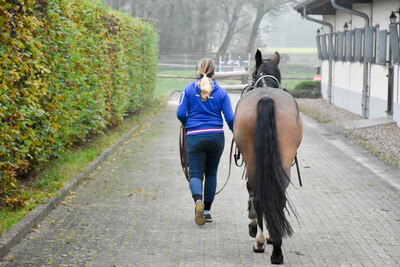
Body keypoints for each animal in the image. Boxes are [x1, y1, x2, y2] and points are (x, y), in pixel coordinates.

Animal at [231, 50, 304, 266]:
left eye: (253, 73)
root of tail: (266, 98)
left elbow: (252, 194)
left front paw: (253, 225)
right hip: (284, 161)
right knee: (278, 196)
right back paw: (277, 249)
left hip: (253, 162)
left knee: (259, 197)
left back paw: (261, 241)